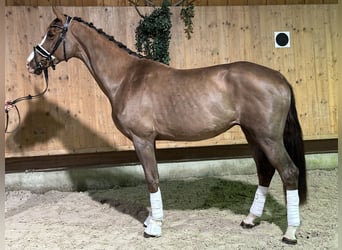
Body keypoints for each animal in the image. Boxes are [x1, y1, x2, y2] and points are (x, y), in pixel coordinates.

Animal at [25, 7, 306, 244]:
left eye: (51, 34)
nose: (31, 63)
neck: (127, 77)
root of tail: (279, 77)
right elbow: (153, 177)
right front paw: (151, 220)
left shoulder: (142, 139)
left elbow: (152, 178)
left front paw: (154, 226)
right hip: (253, 135)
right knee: (265, 171)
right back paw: (250, 219)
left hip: (268, 138)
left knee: (289, 172)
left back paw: (290, 233)